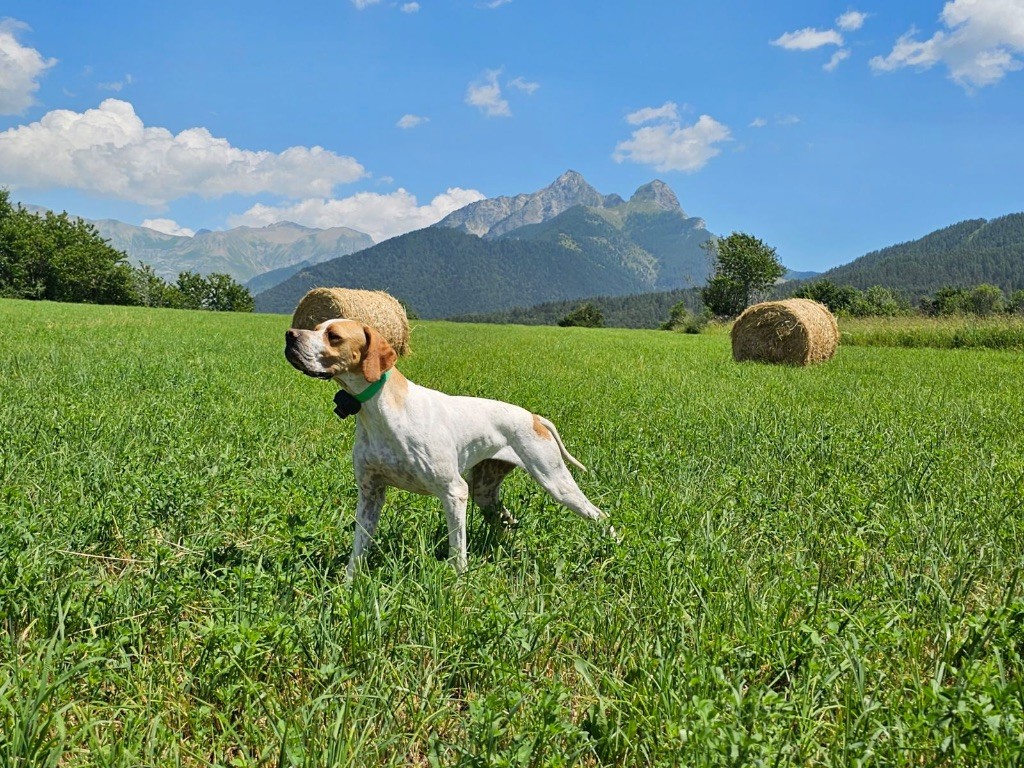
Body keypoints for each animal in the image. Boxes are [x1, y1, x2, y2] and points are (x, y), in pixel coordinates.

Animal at [282, 315, 606, 573]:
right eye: (315, 327)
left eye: (333, 336)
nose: (290, 334)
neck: (380, 411)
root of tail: (534, 417)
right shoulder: (370, 494)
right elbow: (358, 550)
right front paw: (349, 585)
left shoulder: (454, 491)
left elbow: (457, 553)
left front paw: (457, 587)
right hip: (485, 493)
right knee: (507, 522)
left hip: (555, 481)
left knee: (599, 515)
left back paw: (610, 548)